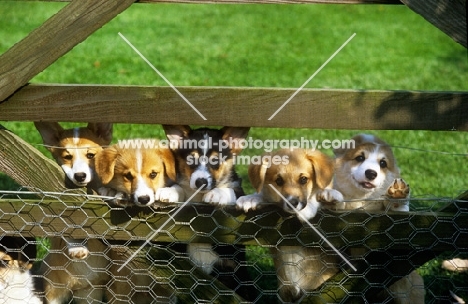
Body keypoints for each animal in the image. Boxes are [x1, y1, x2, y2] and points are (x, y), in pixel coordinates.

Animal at [238, 148, 340, 302]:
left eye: (303, 179)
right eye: (278, 181)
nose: (292, 203)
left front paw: (324, 196)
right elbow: (265, 196)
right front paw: (251, 198)